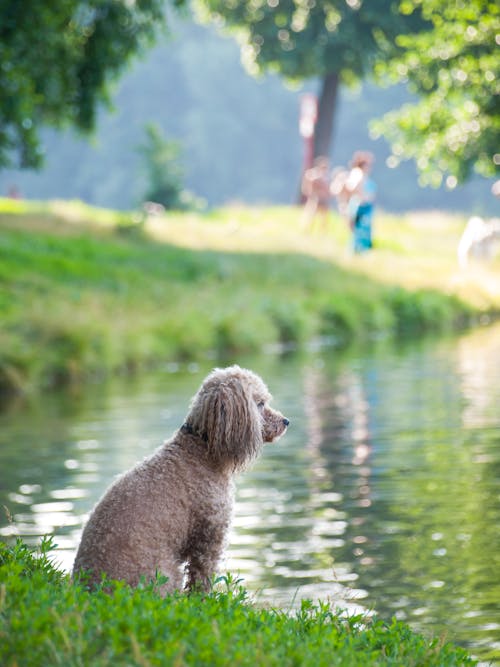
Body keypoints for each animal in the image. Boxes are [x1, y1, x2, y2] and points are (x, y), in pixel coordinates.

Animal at [72, 366, 288, 596]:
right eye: (260, 403)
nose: (286, 421)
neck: (200, 448)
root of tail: (89, 589)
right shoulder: (210, 537)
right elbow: (202, 578)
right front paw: (202, 600)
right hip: (166, 573)